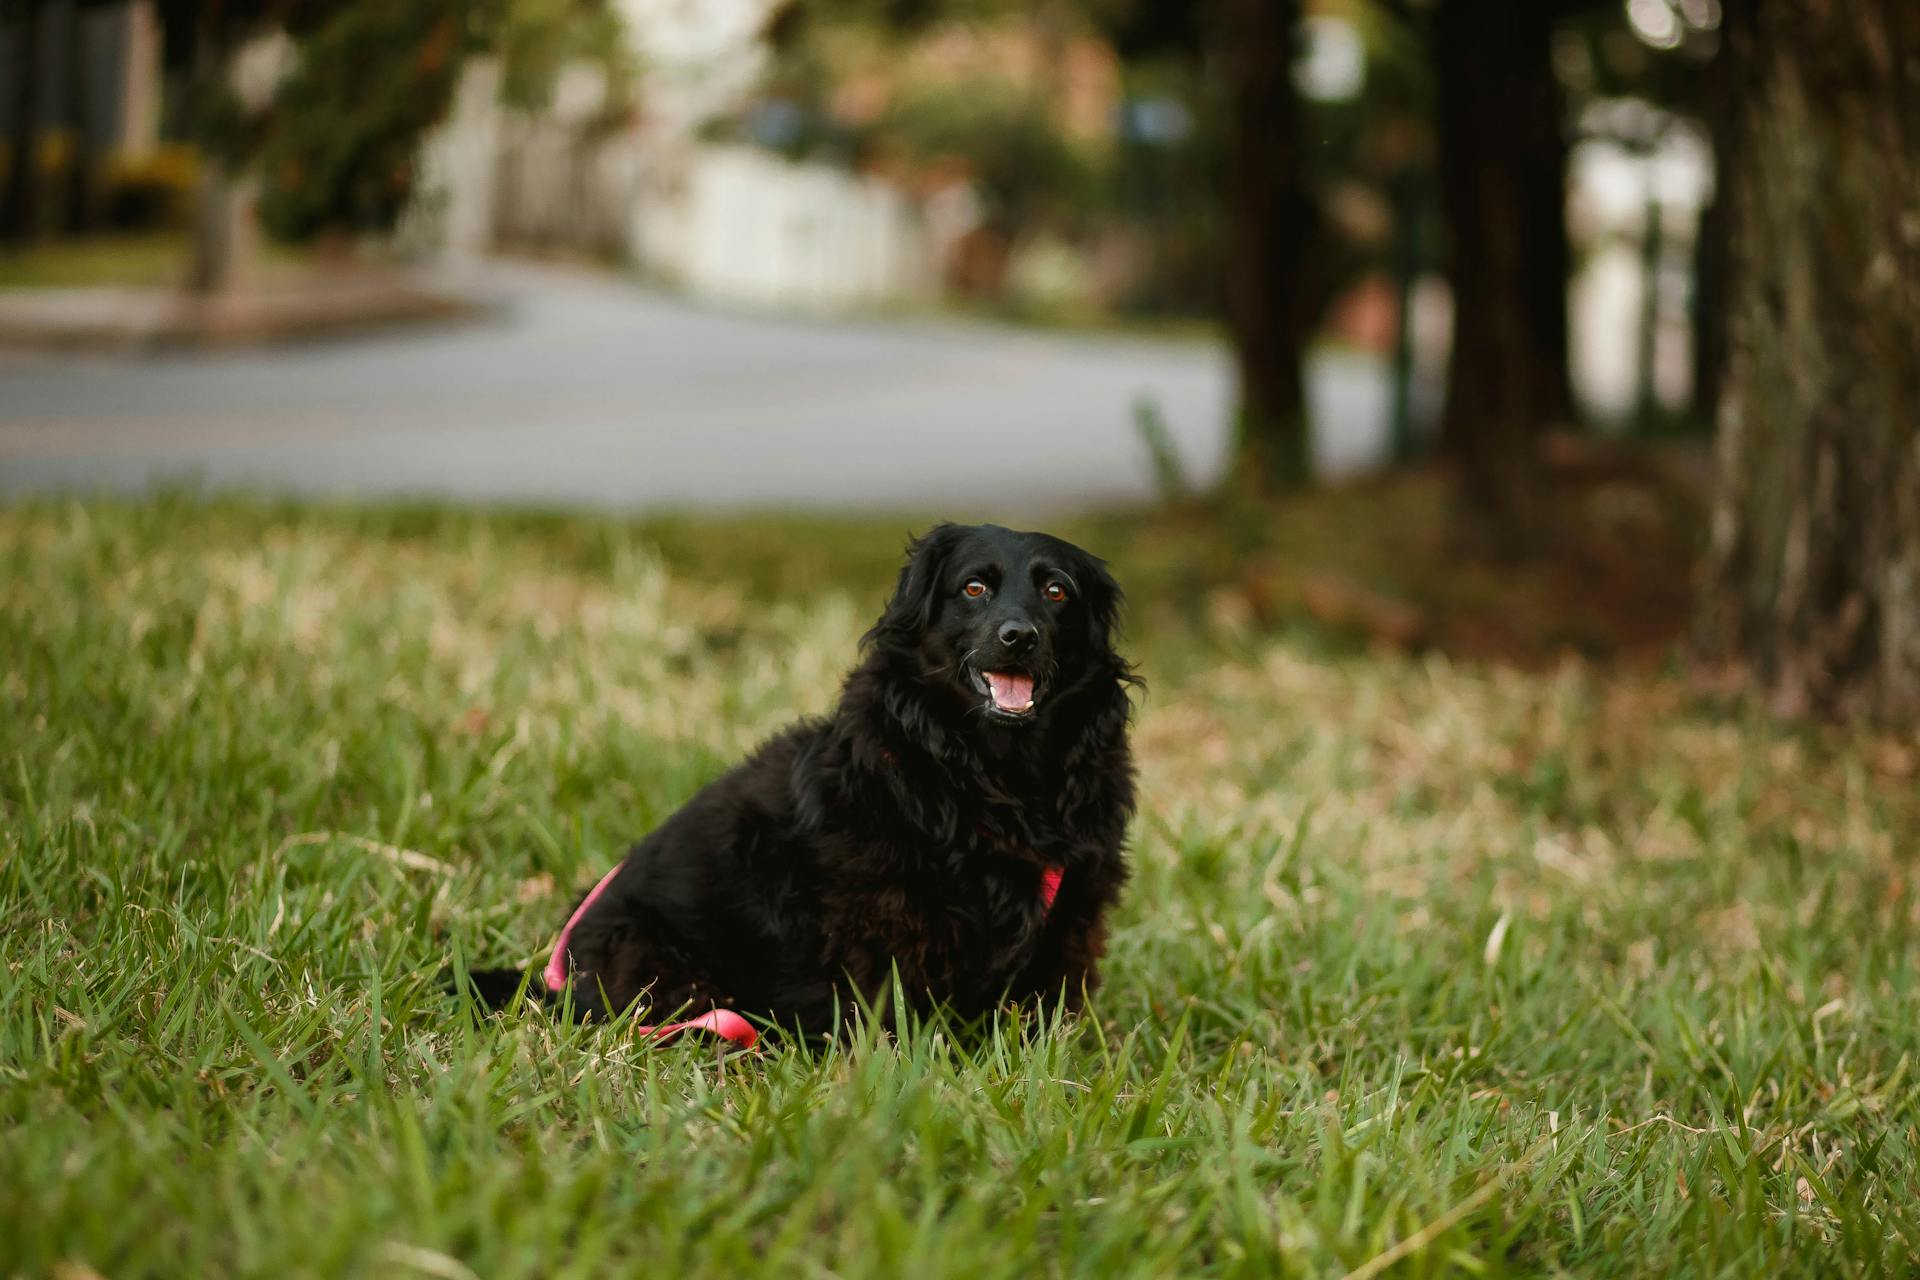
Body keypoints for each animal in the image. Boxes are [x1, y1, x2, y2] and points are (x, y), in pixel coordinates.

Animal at [458, 521, 1128, 1043]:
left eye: (1057, 591)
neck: (994, 776)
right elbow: (885, 1014)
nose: (1019, 636)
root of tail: (561, 970)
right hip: (664, 969)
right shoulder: (880, 922)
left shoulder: (1069, 921)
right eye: (974, 587)